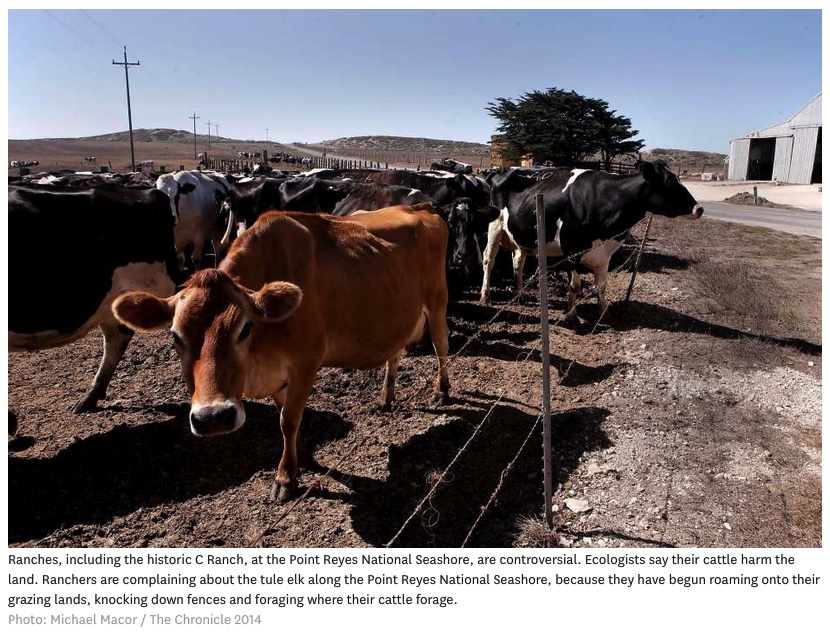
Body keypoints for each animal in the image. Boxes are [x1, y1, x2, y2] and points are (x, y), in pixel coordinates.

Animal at [114, 204, 452, 502]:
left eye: (244, 328)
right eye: (175, 336)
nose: (213, 418)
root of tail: (421, 207)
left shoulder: (306, 363)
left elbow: (288, 419)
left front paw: (286, 478)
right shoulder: (278, 376)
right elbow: (284, 417)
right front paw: (299, 458)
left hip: (437, 300)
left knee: (442, 346)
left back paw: (442, 390)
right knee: (395, 352)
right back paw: (387, 397)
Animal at [478, 161, 704, 326]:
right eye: (669, 184)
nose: (699, 208)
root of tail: (500, 170)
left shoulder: (605, 253)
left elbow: (602, 286)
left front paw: (603, 312)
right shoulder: (571, 249)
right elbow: (575, 285)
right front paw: (572, 316)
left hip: (521, 236)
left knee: (518, 262)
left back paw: (520, 294)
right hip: (494, 226)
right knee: (489, 259)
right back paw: (485, 295)